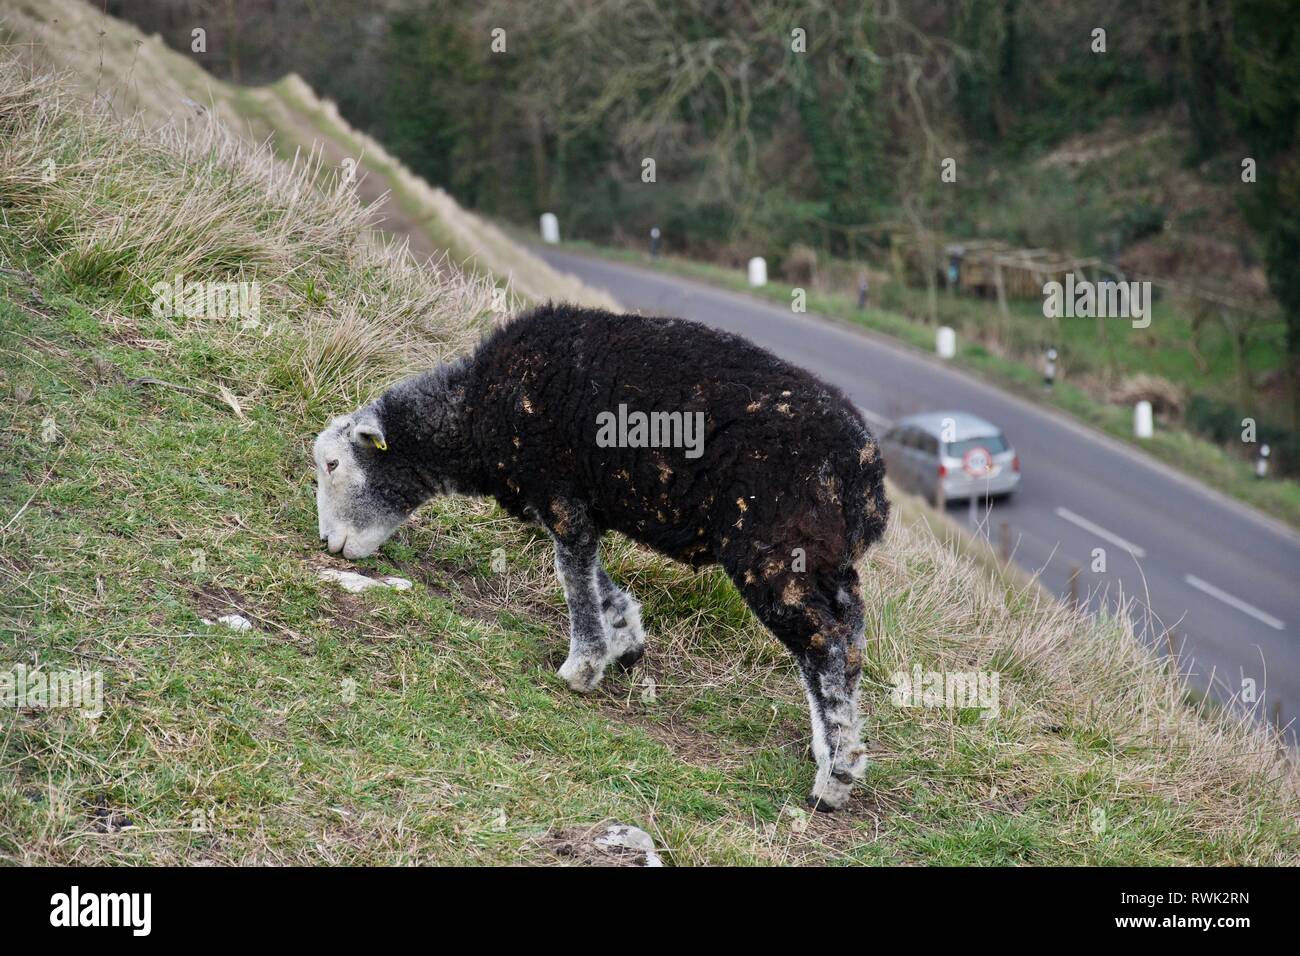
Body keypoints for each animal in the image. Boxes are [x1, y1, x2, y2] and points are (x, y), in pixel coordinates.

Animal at [312, 304, 883, 806]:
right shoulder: (573, 502)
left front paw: (582, 667)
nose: (326, 544)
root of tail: (866, 475)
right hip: (827, 561)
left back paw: (835, 777)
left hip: (775, 552)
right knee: (851, 637)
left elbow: (573, 572)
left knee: (826, 645)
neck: (474, 411)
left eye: (333, 464)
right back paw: (836, 745)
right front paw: (625, 637)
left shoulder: (558, 491)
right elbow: (593, 572)